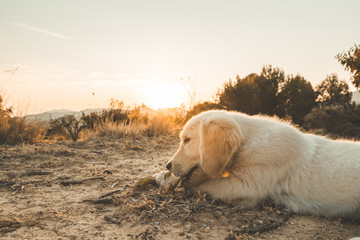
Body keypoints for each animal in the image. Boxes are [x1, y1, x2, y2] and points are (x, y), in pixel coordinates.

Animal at [154, 110, 360, 219]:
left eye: (187, 140)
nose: (168, 165)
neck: (248, 142)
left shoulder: (246, 187)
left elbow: (204, 184)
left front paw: (170, 182)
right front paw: (161, 176)